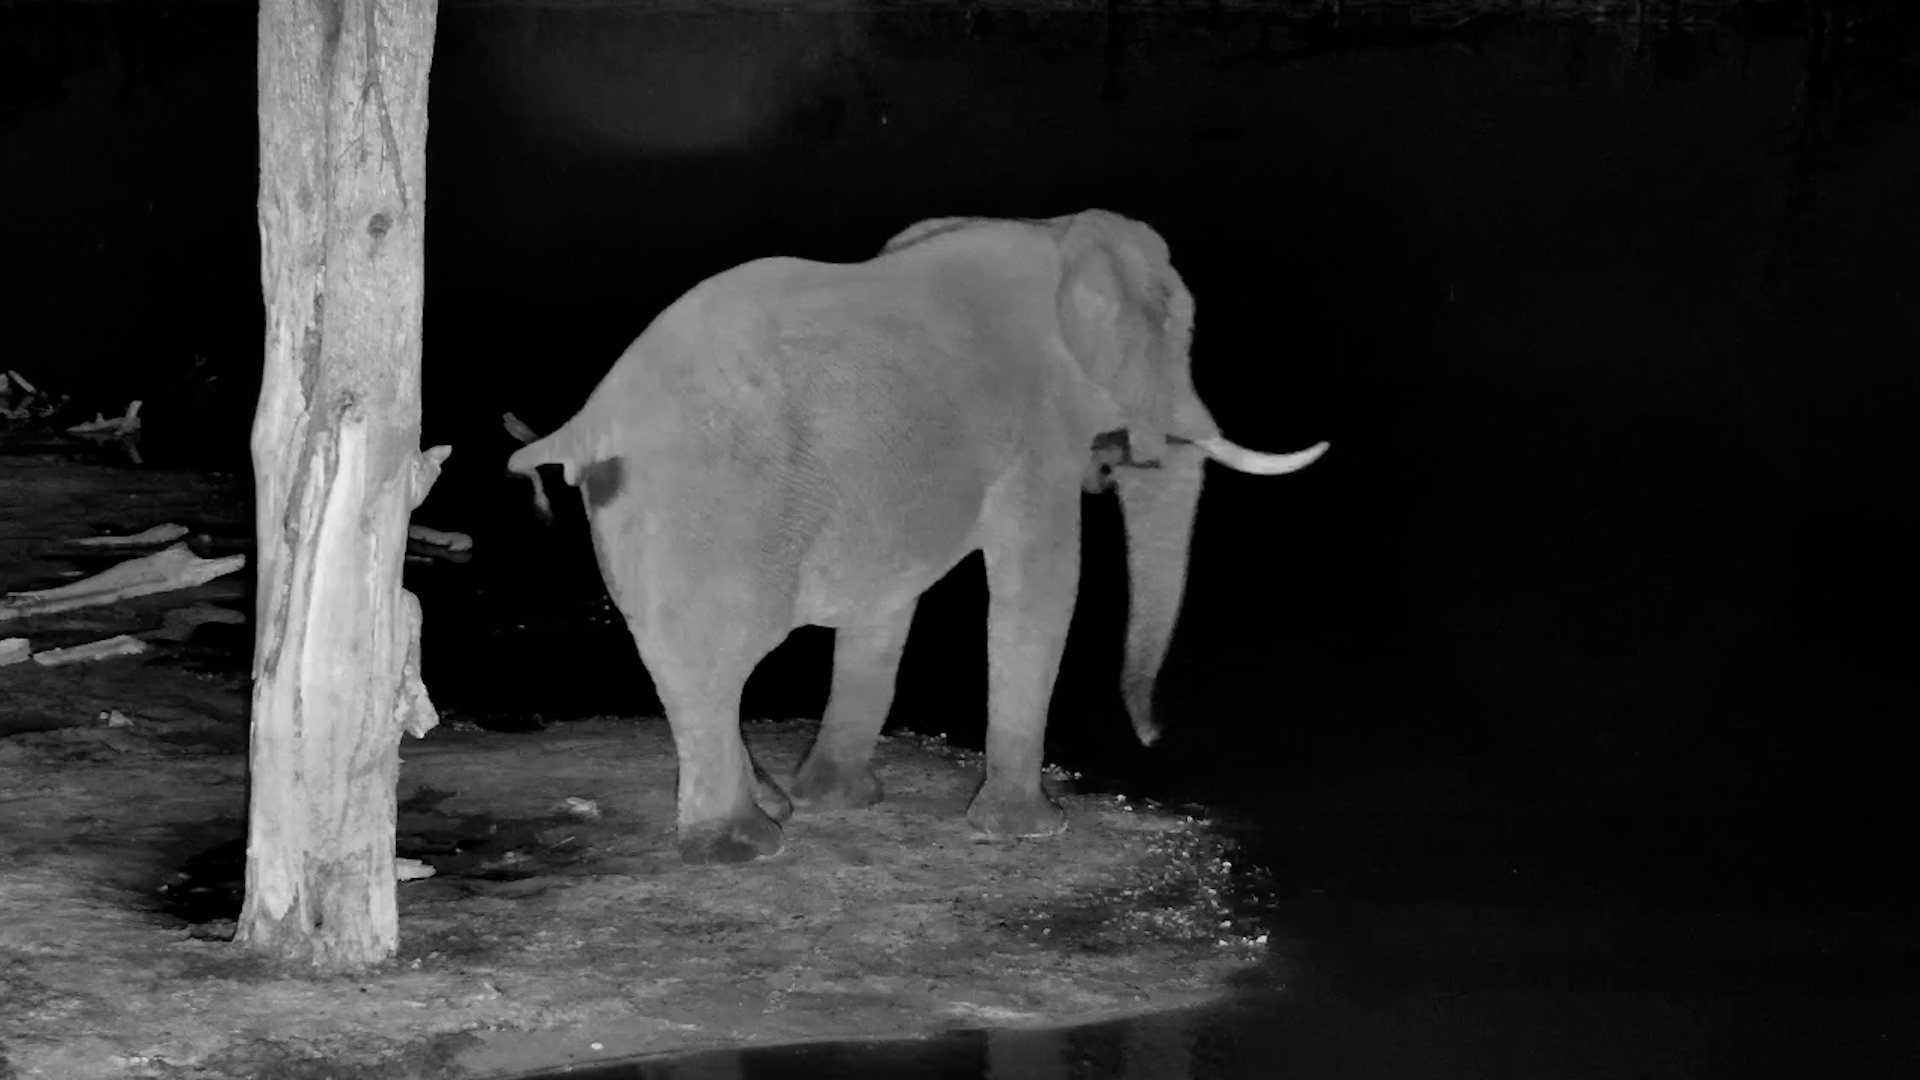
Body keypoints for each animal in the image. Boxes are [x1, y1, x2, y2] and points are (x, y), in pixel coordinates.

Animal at [505, 209, 1328, 865]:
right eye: (1178, 330)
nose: (1155, 738)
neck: (1055, 230)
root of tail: (590, 423)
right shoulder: (1032, 429)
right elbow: (1044, 584)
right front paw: (1034, 831)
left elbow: (887, 602)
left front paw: (841, 801)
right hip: (713, 508)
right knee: (714, 663)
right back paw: (746, 846)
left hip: (640, 517)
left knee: (680, 658)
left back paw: (774, 810)